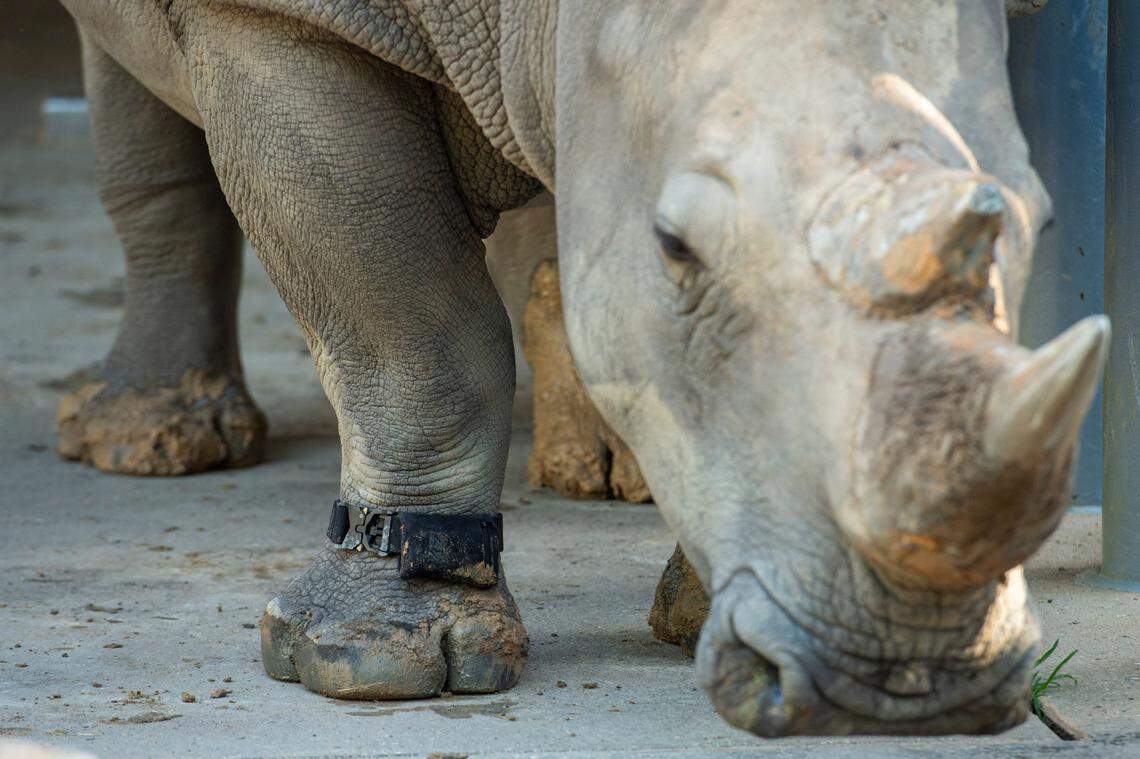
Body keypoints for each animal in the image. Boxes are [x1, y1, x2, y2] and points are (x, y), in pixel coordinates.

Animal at [55, 0, 1107, 737]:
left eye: (1041, 218)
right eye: (677, 247)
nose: (900, 683)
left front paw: (693, 614)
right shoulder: (287, 18)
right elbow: (407, 318)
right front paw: (375, 659)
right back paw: (153, 444)